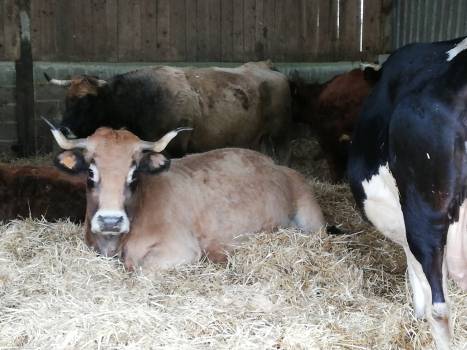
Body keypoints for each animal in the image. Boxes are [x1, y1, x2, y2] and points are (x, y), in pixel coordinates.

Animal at [44, 61, 292, 163]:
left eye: (87, 101)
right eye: (66, 100)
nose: (64, 129)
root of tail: (271, 69)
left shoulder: (175, 148)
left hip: (278, 139)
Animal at [45, 119, 328, 270]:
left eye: (134, 174)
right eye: (90, 172)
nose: (110, 221)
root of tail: (273, 164)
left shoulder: (181, 250)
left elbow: (140, 268)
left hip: (312, 220)